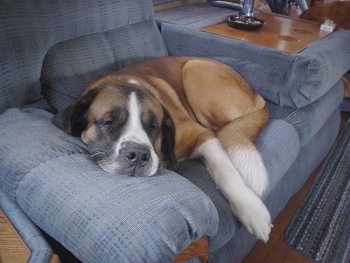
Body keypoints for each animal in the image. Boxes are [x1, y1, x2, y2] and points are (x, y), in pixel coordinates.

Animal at [52, 56, 272, 242]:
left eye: (153, 126)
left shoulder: (202, 135)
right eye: (108, 122)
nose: (138, 155)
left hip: (193, 68)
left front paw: (252, 210)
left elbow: (227, 172)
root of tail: (259, 98)